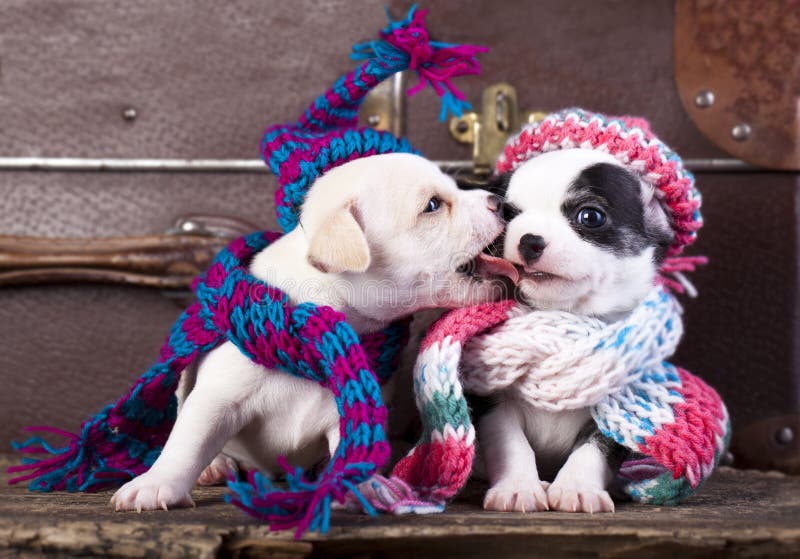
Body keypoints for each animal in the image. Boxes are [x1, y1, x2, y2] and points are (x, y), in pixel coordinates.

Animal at [109, 153, 510, 512]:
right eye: (433, 205)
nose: (500, 203)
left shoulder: (346, 413)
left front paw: (363, 485)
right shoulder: (216, 399)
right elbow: (187, 443)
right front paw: (156, 484)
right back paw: (216, 466)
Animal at [476, 148, 676, 512]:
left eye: (590, 217)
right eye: (507, 217)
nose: (529, 240)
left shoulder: (619, 407)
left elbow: (595, 449)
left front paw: (577, 487)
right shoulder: (491, 399)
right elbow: (509, 441)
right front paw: (518, 486)